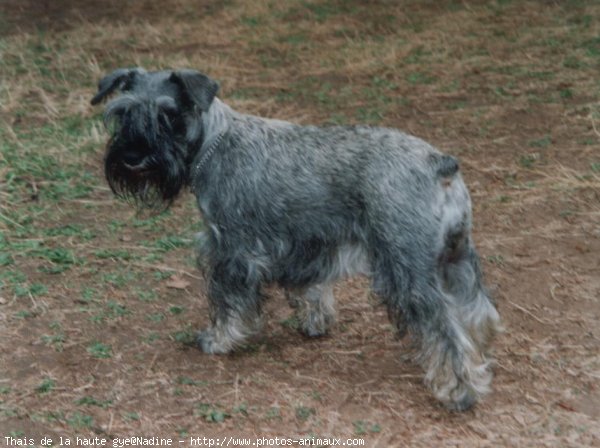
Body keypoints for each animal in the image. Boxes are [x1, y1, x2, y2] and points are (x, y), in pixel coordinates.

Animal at [90, 68, 502, 412]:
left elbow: (227, 302)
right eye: (122, 113)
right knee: (478, 310)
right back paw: (481, 352)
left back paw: (459, 390)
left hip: (408, 269)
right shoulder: (305, 243)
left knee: (444, 329)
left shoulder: (231, 250)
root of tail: (439, 164)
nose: (131, 158)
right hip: (456, 257)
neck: (214, 141)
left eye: (168, 115)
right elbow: (311, 289)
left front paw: (219, 340)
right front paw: (316, 323)